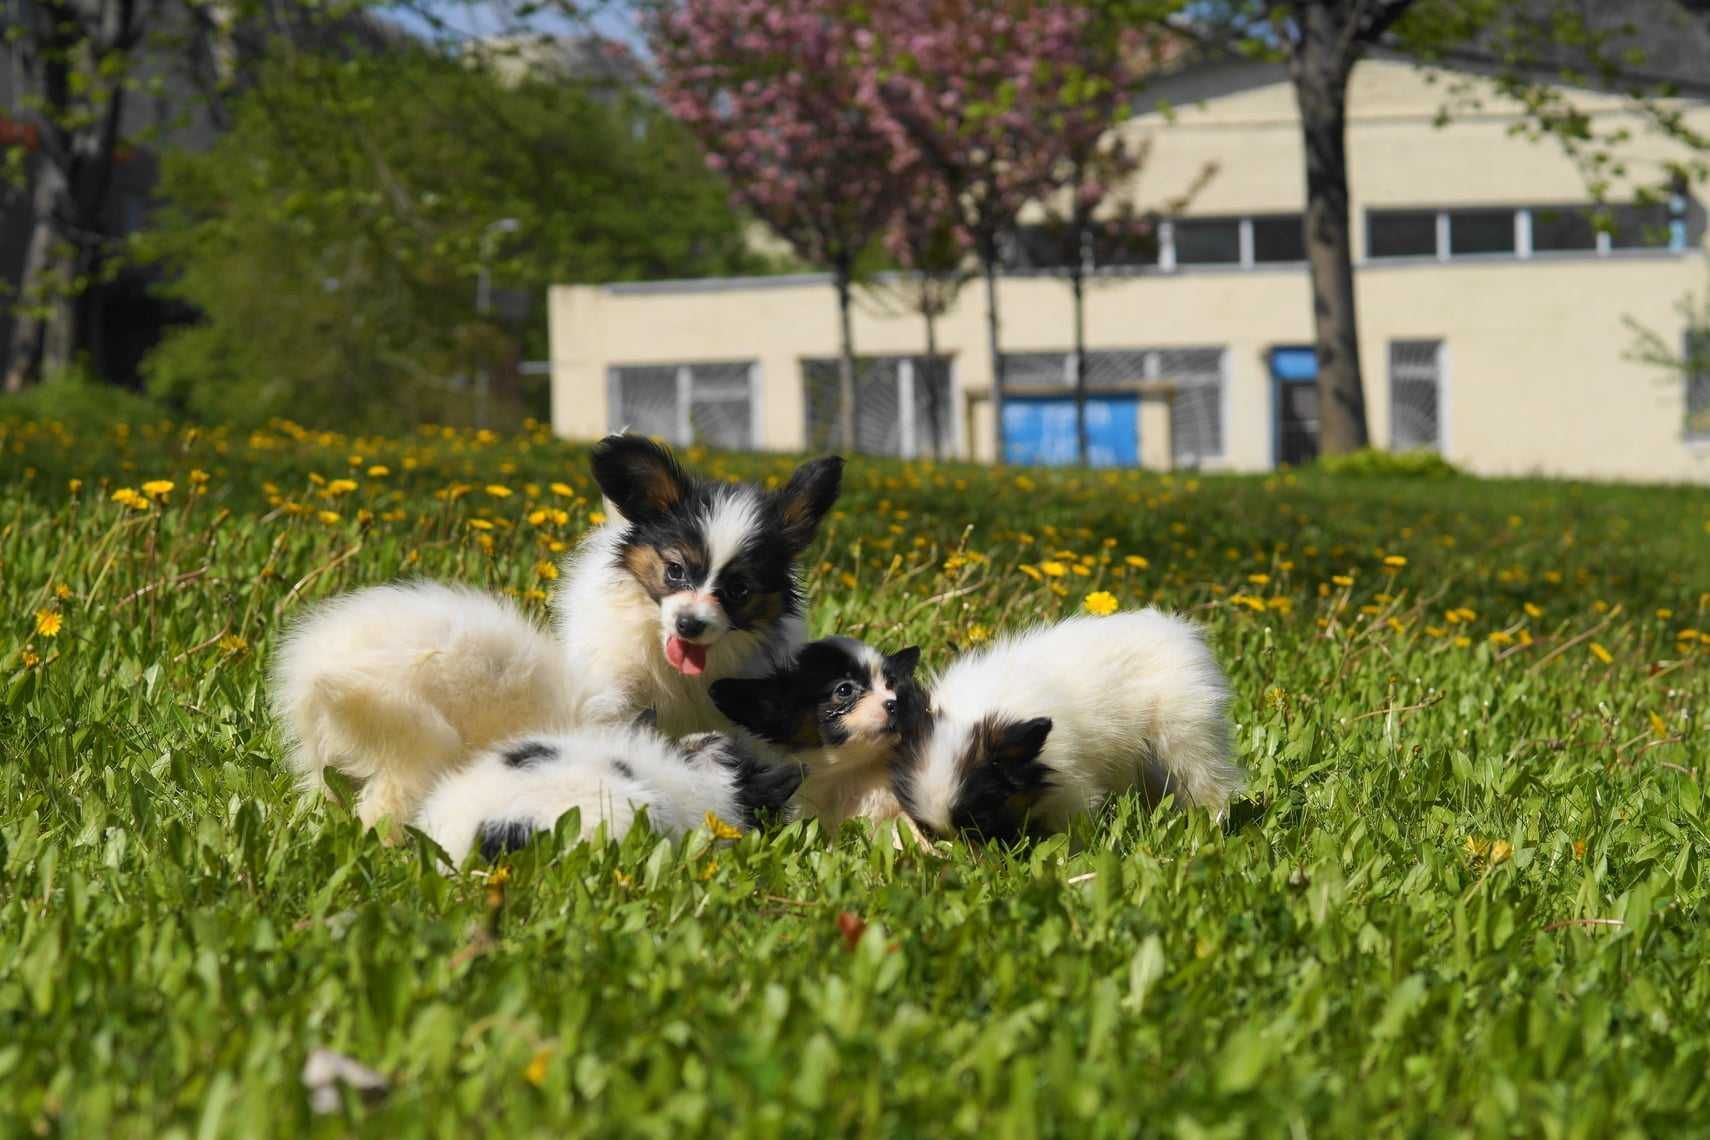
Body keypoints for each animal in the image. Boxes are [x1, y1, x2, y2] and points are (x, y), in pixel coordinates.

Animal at [896, 611, 1244, 844]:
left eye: (979, 822)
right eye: (926, 830)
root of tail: (1177, 629)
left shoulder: (1071, 781)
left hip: (1185, 731)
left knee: (1208, 783)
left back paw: (1208, 829)